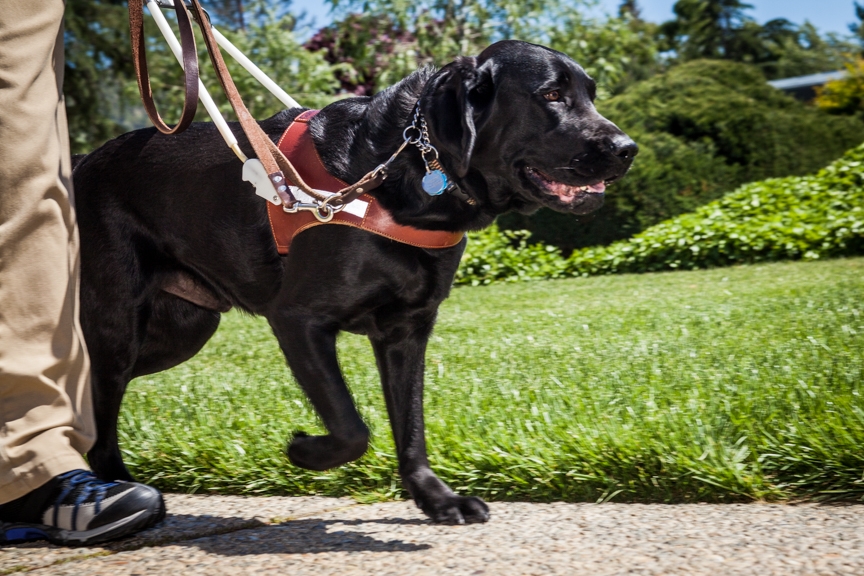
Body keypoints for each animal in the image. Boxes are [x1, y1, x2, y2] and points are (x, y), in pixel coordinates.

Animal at [74, 40, 636, 524]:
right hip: (120, 324)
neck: (410, 170)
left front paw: (437, 500)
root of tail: (79, 164)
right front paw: (304, 450)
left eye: (590, 93)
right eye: (552, 95)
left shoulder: (406, 333)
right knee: (100, 414)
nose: (627, 148)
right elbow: (351, 427)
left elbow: (411, 428)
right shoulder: (298, 320)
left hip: (182, 330)